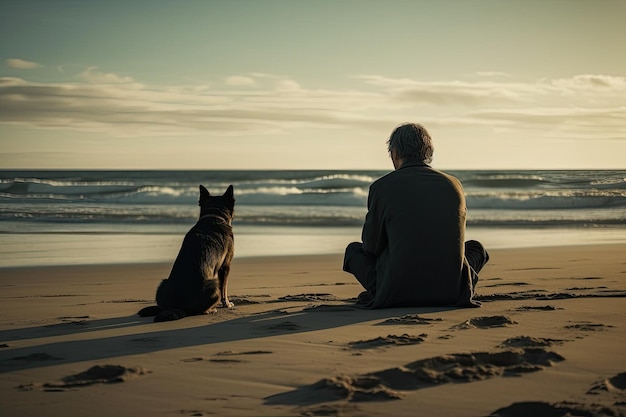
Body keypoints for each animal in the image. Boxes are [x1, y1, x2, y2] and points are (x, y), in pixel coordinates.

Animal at [138, 185, 235, 322]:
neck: (214, 216)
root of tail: (181, 307)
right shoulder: (225, 266)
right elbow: (224, 289)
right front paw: (226, 303)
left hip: (163, 284)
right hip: (213, 283)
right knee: (201, 310)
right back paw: (211, 309)